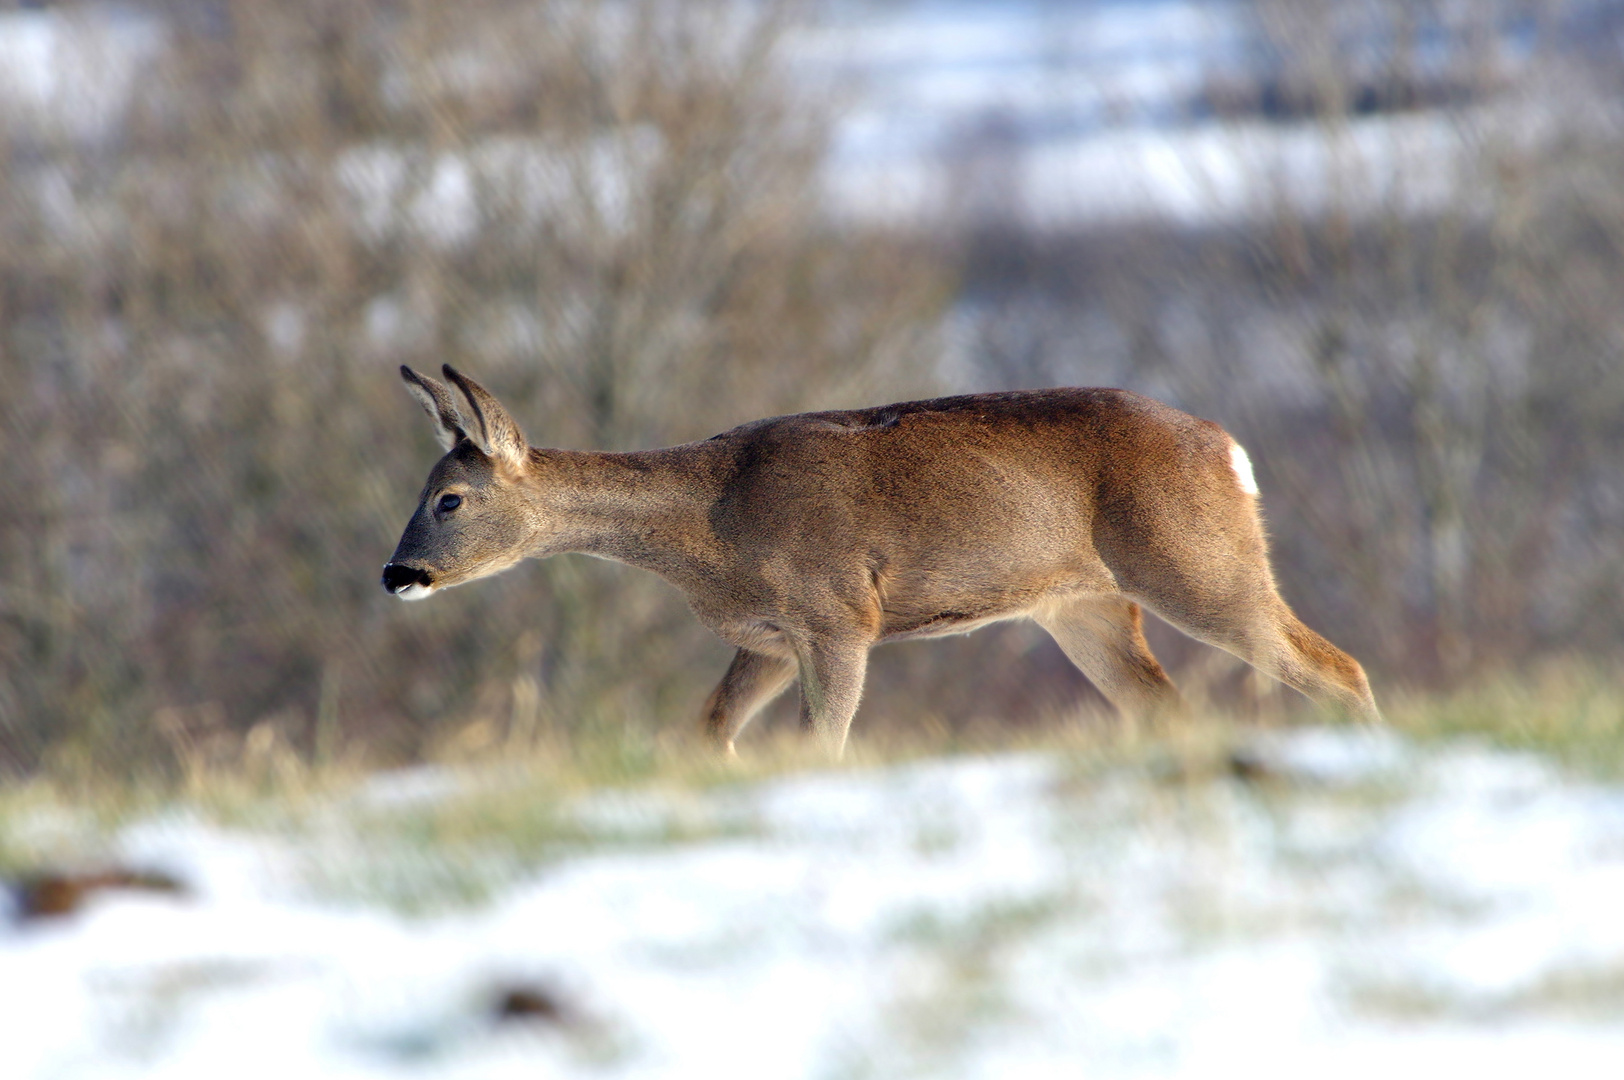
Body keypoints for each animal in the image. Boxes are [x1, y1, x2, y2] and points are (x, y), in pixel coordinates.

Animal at [386, 367, 1377, 753]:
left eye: (449, 498)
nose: (398, 575)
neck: (712, 525)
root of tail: (1230, 450)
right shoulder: (770, 636)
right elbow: (711, 729)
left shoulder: (837, 616)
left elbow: (821, 743)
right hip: (1085, 607)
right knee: (1167, 705)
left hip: (1197, 562)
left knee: (1337, 666)